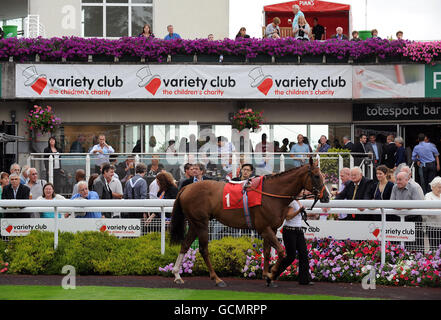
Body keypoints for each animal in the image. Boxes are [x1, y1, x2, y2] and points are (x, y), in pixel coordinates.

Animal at [170, 159, 328, 286]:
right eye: (316, 176)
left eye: (323, 176)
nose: (326, 197)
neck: (272, 194)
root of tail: (186, 187)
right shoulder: (263, 228)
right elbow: (281, 251)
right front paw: (272, 274)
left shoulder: (271, 228)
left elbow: (267, 252)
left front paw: (266, 275)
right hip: (202, 223)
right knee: (203, 249)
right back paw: (217, 279)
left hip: (194, 223)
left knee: (185, 245)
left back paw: (177, 275)